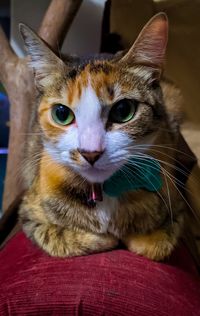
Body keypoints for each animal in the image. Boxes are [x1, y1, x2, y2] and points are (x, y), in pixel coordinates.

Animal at [19, 12, 192, 260]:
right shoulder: (29, 213)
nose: (91, 153)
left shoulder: (176, 207)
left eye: (123, 111)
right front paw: (103, 237)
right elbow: (57, 235)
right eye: (61, 114)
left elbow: (152, 244)